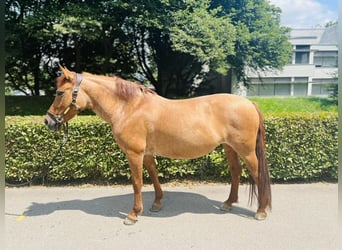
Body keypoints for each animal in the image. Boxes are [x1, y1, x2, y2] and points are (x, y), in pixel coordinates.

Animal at [44, 66, 272, 225]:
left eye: (59, 93)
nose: (48, 121)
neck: (129, 108)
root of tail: (249, 103)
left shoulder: (134, 154)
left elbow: (137, 183)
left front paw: (133, 214)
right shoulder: (146, 153)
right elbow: (154, 176)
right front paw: (157, 203)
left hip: (246, 150)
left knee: (257, 174)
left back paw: (261, 211)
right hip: (229, 147)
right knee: (235, 172)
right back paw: (228, 203)